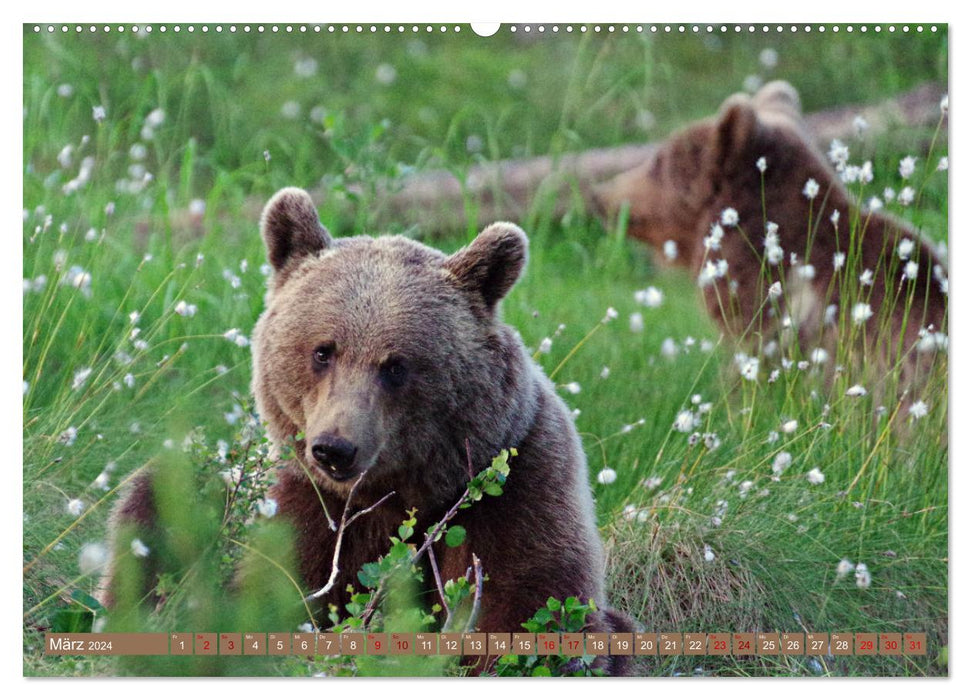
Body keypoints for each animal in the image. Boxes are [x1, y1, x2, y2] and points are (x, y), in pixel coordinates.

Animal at [104, 186, 632, 672]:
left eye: (396, 365)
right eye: (323, 350)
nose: (334, 449)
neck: (399, 494)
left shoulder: (516, 486)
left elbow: (531, 606)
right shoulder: (310, 504)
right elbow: (276, 594)